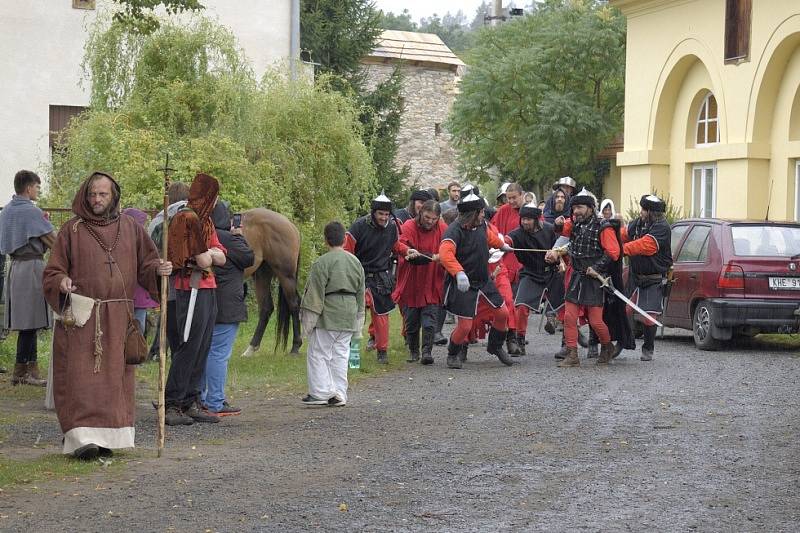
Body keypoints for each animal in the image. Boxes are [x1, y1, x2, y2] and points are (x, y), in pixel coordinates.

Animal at [239, 210, 302, 356]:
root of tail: (290, 225)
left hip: (285, 275)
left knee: (294, 304)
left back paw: (295, 347)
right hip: (262, 275)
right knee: (266, 308)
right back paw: (251, 348)